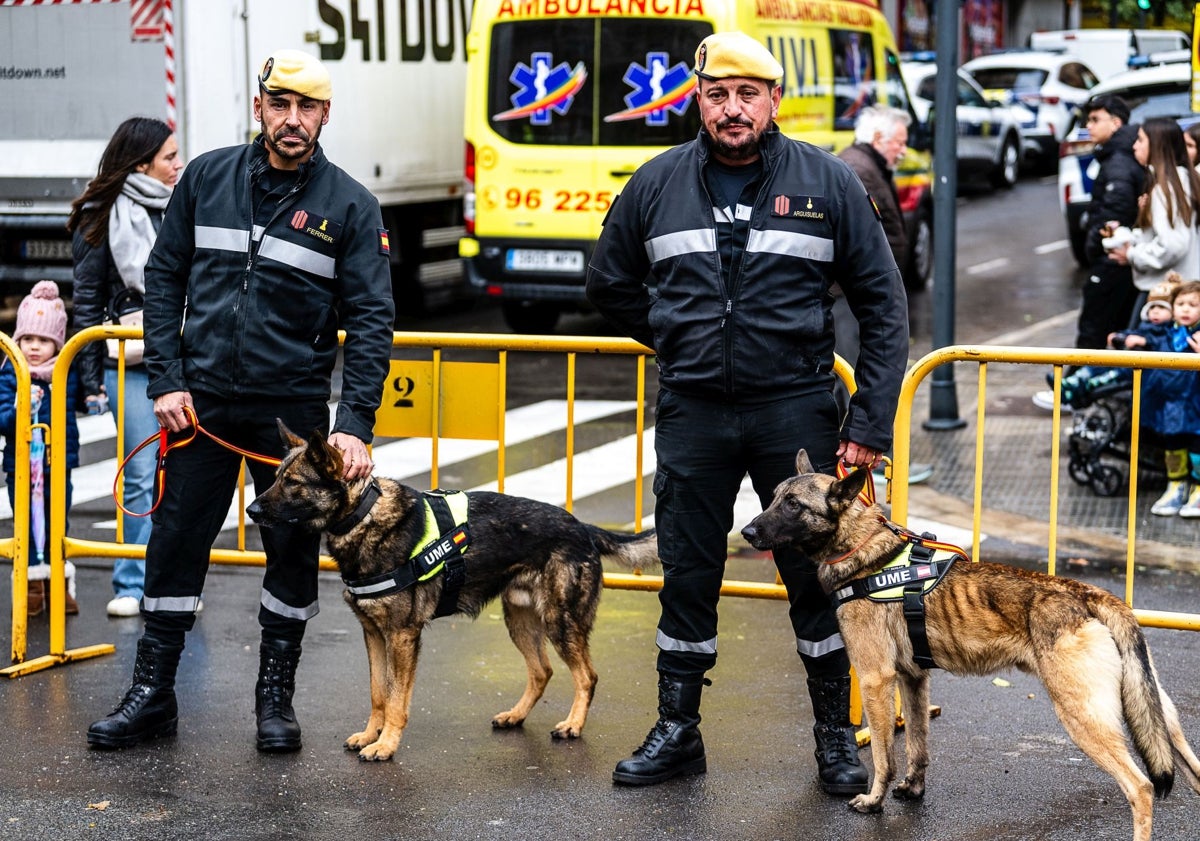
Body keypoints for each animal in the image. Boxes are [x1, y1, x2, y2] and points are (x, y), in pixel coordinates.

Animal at [244, 422, 657, 758]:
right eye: (276, 477)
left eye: (293, 483)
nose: (250, 510)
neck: (363, 515)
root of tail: (583, 527)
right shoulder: (373, 634)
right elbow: (378, 692)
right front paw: (370, 735)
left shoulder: (402, 637)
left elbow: (396, 699)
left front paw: (385, 745)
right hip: (520, 621)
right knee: (541, 672)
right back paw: (515, 715)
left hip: (560, 622)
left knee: (586, 676)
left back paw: (573, 724)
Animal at [739, 448, 1200, 839]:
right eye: (774, 498)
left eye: (793, 505)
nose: (746, 531)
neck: (866, 551)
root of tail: (1090, 594)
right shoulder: (913, 680)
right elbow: (918, 744)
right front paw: (913, 789)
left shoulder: (875, 680)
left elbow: (885, 756)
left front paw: (874, 800)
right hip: (1159, 719)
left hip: (1084, 717)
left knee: (1140, 787)